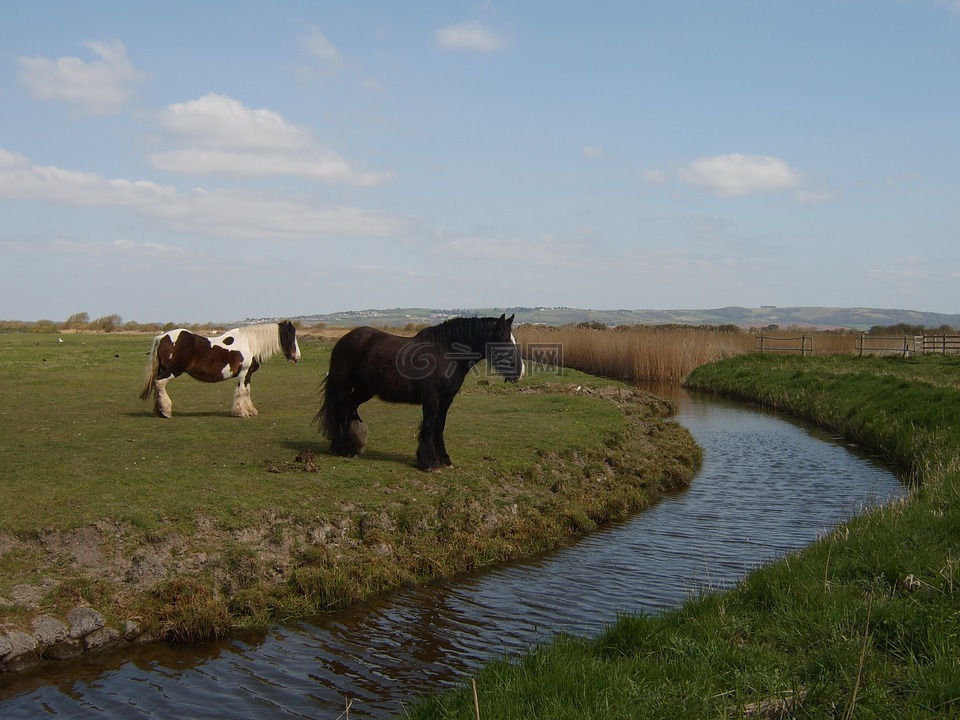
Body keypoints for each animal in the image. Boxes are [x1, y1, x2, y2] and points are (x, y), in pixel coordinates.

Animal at [139, 321, 301, 418]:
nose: (297, 357)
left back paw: (159, 411)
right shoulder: (243, 373)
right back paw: (166, 411)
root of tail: (162, 337)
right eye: (290, 336)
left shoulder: (248, 374)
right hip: (173, 371)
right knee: (159, 383)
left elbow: (247, 391)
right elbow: (241, 391)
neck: (249, 343)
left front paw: (250, 410)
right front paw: (241, 412)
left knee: (157, 386)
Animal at [314, 314, 525, 471]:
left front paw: (444, 459)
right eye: (504, 341)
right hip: (344, 386)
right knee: (342, 411)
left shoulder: (447, 399)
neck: (445, 354)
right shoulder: (431, 398)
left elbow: (439, 426)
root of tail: (344, 340)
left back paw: (355, 442)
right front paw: (429, 462)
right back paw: (344, 448)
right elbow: (429, 426)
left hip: (365, 389)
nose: (521, 372)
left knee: (351, 407)